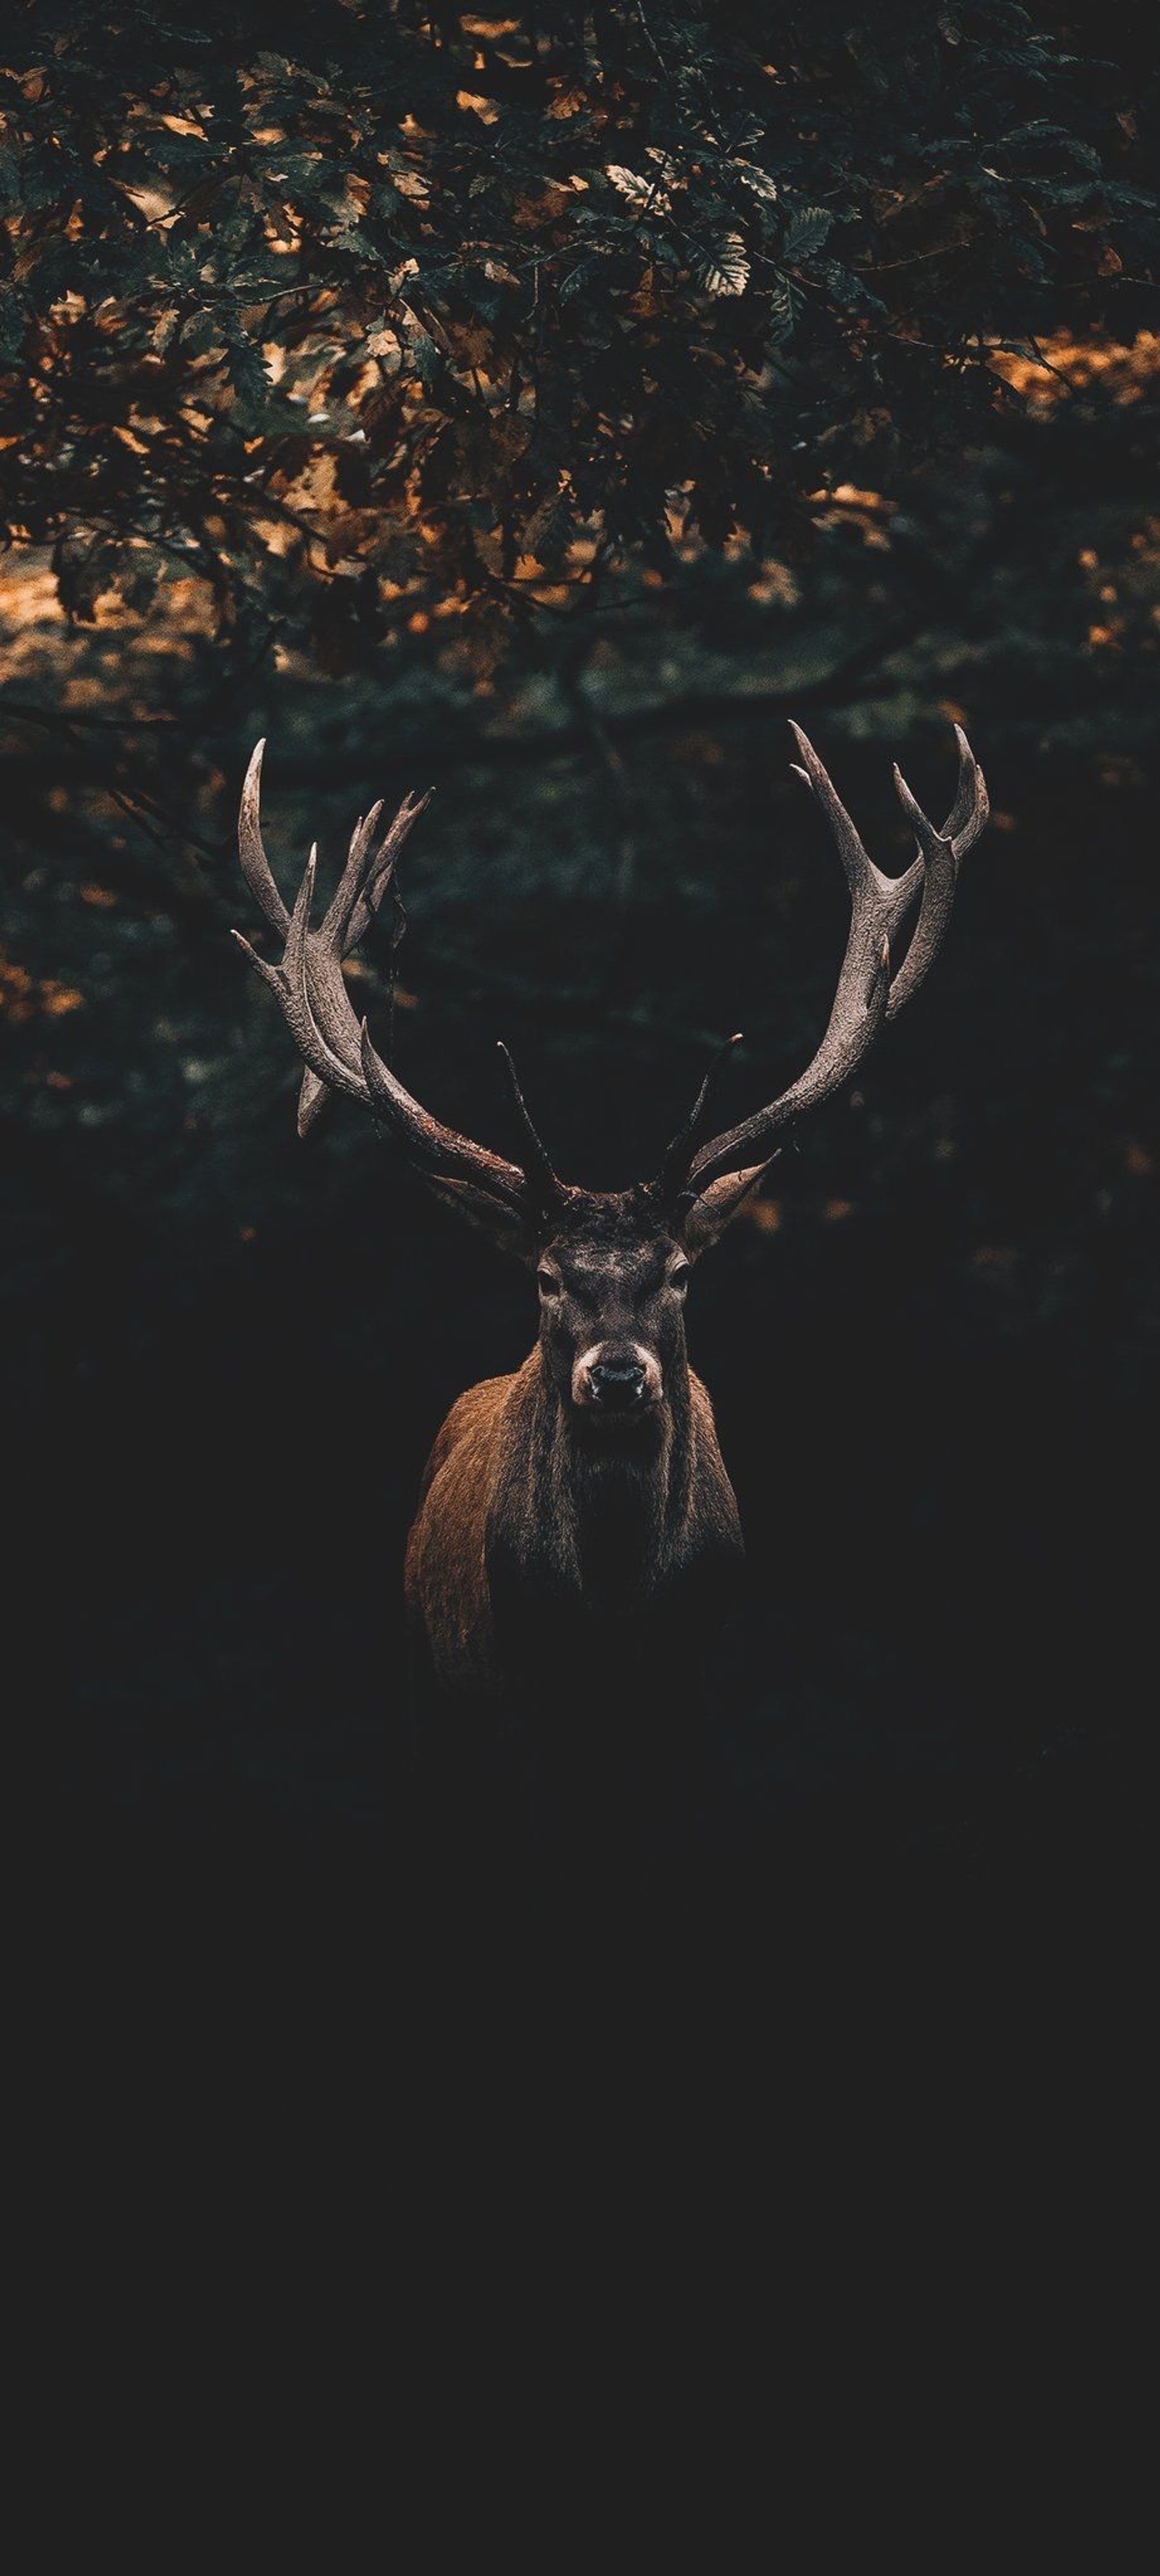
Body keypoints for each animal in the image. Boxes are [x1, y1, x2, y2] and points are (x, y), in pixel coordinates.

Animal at [233, 726, 990, 1751]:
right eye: (547, 1277)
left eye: (678, 1271)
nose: (620, 1374)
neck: (613, 1623)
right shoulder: (508, 1688)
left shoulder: (690, 1687)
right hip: (426, 1675)